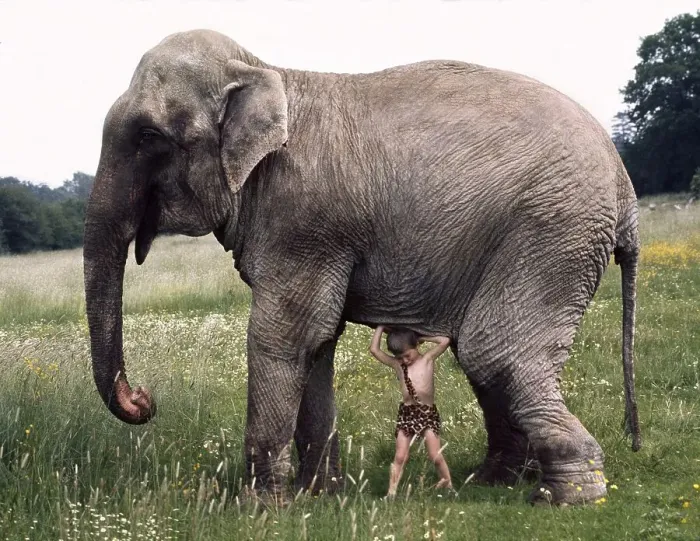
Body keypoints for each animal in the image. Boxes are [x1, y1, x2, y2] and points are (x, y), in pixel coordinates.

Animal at [83, 29, 641, 505]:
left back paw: (570, 494)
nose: (144, 398)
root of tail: (625, 189)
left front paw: (260, 509)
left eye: (148, 136)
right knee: (486, 354)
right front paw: (318, 497)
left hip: (553, 229)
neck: (265, 70)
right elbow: (317, 342)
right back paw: (497, 481)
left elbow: (282, 336)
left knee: (495, 351)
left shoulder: (304, 219)